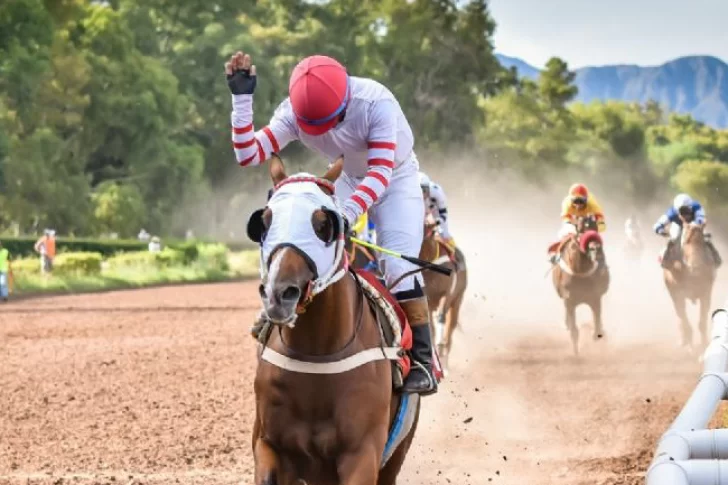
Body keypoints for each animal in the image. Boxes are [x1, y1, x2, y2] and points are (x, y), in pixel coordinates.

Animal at [247, 155, 420, 484]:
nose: (279, 293)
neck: (317, 353)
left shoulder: (362, 454)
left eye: (323, 225)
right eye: (265, 221)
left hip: (397, 450)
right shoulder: (269, 444)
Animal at [552, 216, 608, 356]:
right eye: (580, 230)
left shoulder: (595, 297)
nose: (596, 248)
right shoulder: (569, 300)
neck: (581, 272)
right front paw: (576, 354)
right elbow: (574, 331)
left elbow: (597, 327)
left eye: (596, 228)